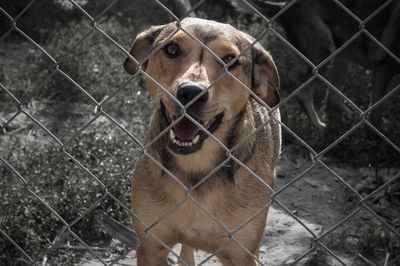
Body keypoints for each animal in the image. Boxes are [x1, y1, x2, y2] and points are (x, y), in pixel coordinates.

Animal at [124, 17, 282, 264]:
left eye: (230, 60)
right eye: (172, 49)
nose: (191, 92)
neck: (195, 168)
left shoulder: (241, 254)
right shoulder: (150, 245)